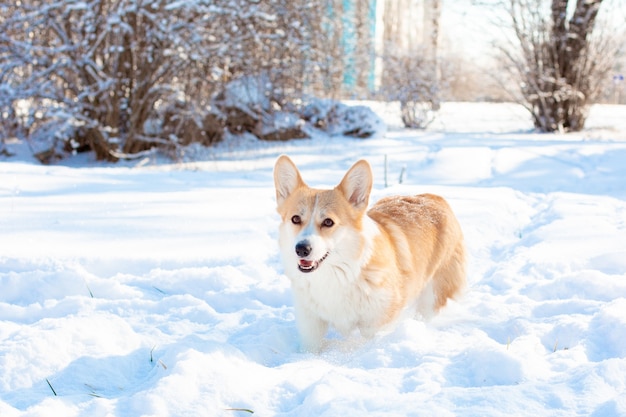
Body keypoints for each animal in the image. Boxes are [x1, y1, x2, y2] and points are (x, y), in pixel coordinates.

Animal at [272, 154, 464, 350]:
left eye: (328, 222)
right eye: (295, 219)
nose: (301, 249)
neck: (337, 274)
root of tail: (433, 197)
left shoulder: (378, 323)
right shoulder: (311, 323)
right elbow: (311, 348)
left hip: (433, 295)